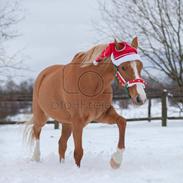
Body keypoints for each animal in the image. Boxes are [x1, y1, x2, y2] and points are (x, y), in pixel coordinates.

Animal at [24, 36, 147, 169]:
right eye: (123, 67)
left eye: (140, 66)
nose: (141, 98)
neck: (91, 82)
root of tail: (43, 74)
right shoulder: (78, 121)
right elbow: (78, 152)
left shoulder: (102, 115)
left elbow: (122, 122)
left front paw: (116, 161)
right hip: (42, 116)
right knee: (36, 131)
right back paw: (36, 157)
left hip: (67, 123)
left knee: (62, 144)